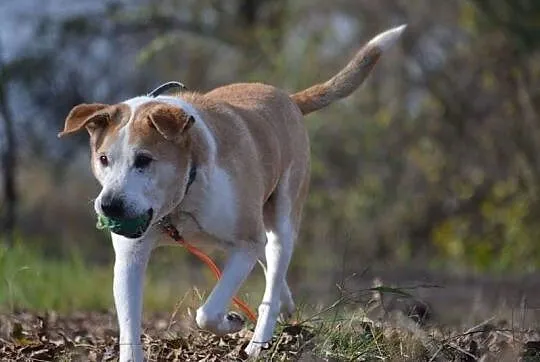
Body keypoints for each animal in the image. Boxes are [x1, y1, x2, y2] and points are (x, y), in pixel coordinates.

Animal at [58, 24, 404, 360]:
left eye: (144, 160)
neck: (184, 195)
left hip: (282, 218)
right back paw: (285, 304)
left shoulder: (245, 243)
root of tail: (288, 98)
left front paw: (232, 321)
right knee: (273, 273)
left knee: (273, 272)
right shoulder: (131, 255)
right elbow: (130, 325)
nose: (109, 206)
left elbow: (208, 312)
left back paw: (259, 341)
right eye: (104, 159)